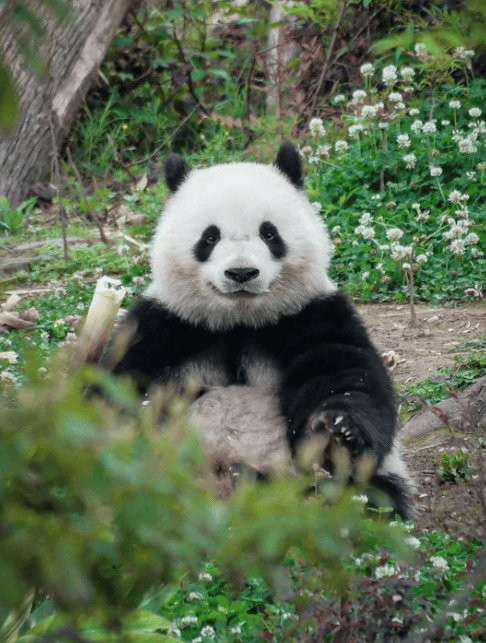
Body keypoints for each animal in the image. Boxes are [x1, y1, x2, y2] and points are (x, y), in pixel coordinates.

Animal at [106, 142, 414, 518]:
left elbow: (347, 375)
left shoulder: (310, 315)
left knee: (369, 495)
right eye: (210, 236)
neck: (239, 321)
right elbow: (118, 384)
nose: (241, 273)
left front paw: (339, 431)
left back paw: (256, 478)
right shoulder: (168, 324)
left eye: (269, 233)